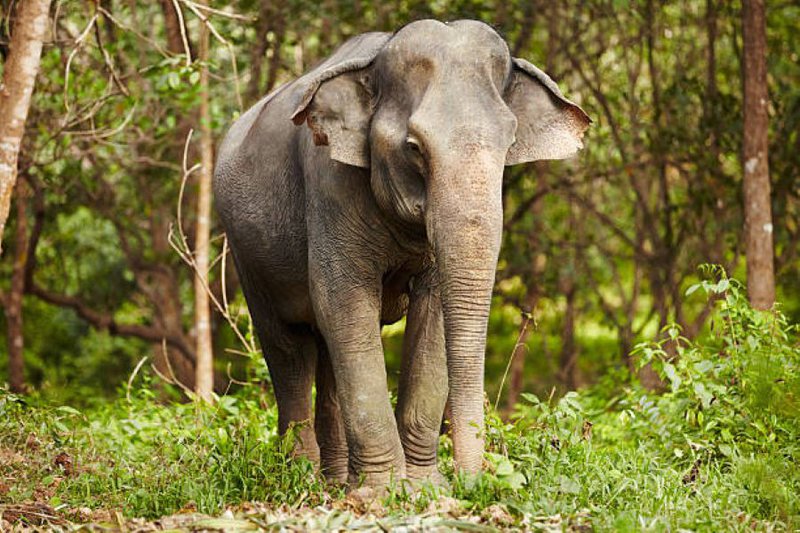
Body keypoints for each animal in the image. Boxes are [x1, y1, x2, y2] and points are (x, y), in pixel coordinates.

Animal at [213, 19, 590, 487]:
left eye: (511, 143)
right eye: (414, 147)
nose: (474, 483)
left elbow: (433, 314)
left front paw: (425, 487)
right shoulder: (330, 185)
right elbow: (344, 300)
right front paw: (383, 492)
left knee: (327, 352)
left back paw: (336, 481)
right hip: (247, 255)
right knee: (289, 349)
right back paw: (304, 477)